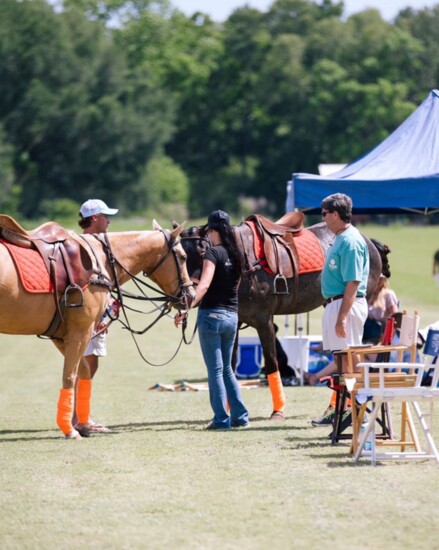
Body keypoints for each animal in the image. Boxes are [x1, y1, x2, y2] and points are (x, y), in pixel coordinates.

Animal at [0, 220, 196, 440]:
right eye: (183, 256)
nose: (191, 296)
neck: (100, 260)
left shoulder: (60, 335)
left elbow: (83, 372)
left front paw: (85, 425)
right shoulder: (81, 330)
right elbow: (69, 376)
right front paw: (70, 430)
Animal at [179, 213, 388, 420]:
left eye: (202, 251)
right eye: (181, 255)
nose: (188, 295)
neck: (242, 260)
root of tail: (369, 241)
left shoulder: (264, 321)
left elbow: (272, 363)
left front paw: (277, 411)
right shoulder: (234, 323)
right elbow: (229, 364)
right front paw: (230, 412)